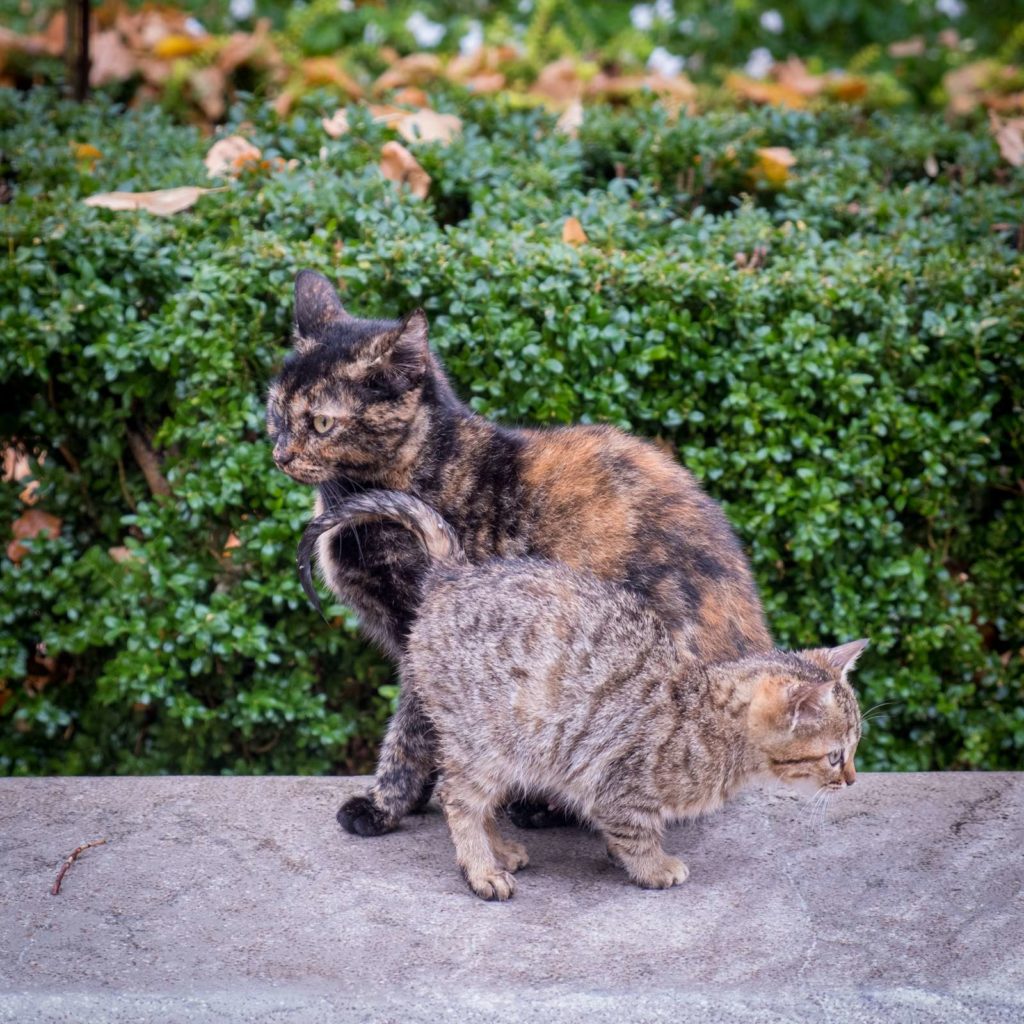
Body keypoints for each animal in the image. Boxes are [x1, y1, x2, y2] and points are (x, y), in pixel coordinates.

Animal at [268, 272, 770, 839]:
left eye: (321, 423)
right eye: (276, 411)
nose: (280, 454)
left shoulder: (435, 630)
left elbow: (412, 731)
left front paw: (383, 805)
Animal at [299, 491, 868, 901]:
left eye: (853, 752)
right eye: (834, 755)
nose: (851, 779)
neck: (705, 716)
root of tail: (454, 572)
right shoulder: (618, 785)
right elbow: (635, 832)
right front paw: (654, 867)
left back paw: (499, 849)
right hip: (488, 738)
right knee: (455, 796)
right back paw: (482, 869)